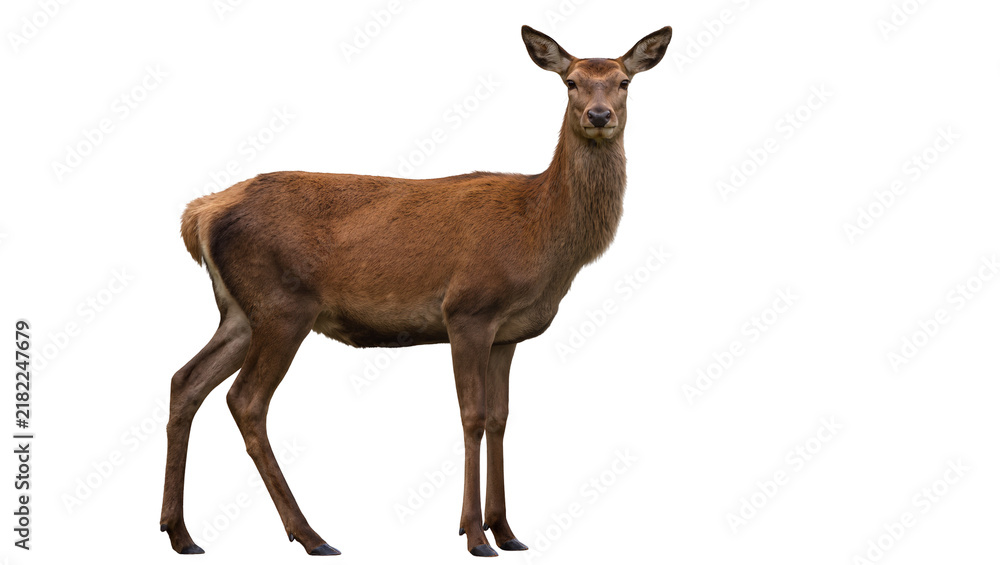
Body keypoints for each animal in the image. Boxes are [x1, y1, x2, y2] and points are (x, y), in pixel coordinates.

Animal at [160, 24, 672, 557]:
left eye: (624, 81)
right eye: (570, 82)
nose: (599, 115)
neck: (541, 235)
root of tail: (199, 214)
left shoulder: (508, 333)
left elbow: (500, 419)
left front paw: (507, 531)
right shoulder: (468, 310)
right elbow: (472, 416)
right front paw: (474, 535)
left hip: (240, 312)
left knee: (185, 380)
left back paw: (181, 533)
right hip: (282, 306)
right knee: (245, 400)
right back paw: (311, 535)